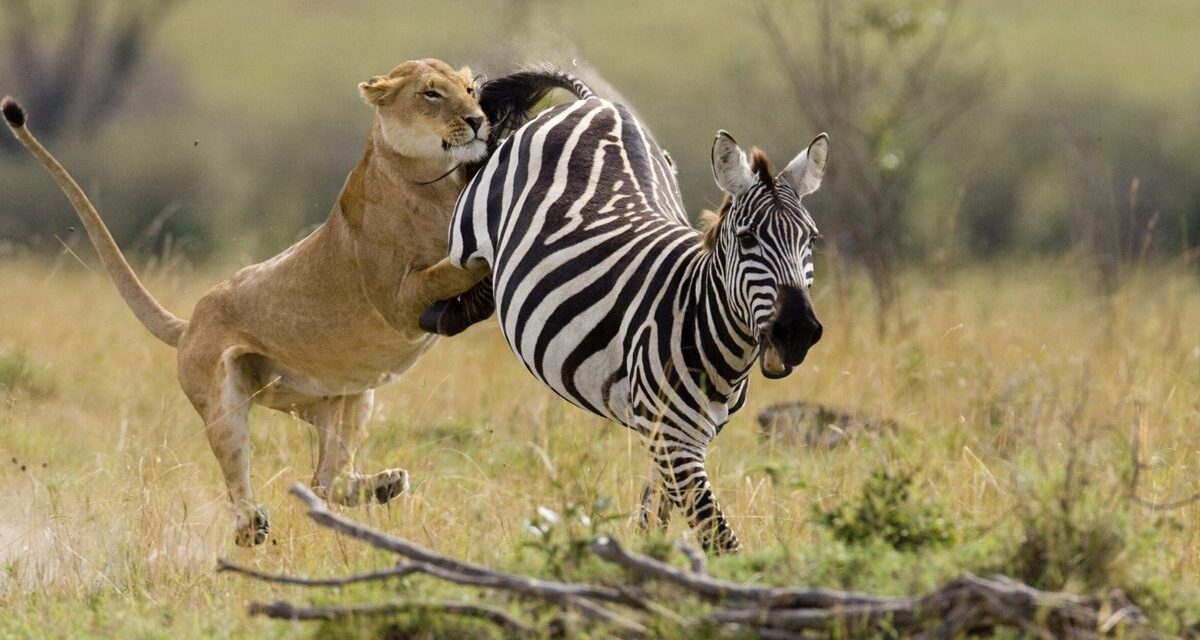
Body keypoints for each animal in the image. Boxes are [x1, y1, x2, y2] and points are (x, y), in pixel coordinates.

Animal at [439, 71, 825, 549]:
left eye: (810, 239)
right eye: (748, 238)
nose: (797, 330)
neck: (701, 317)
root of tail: (595, 103)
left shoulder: (678, 437)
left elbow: (652, 518)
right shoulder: (673, 440)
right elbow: (721, 539)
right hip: (465, 233)